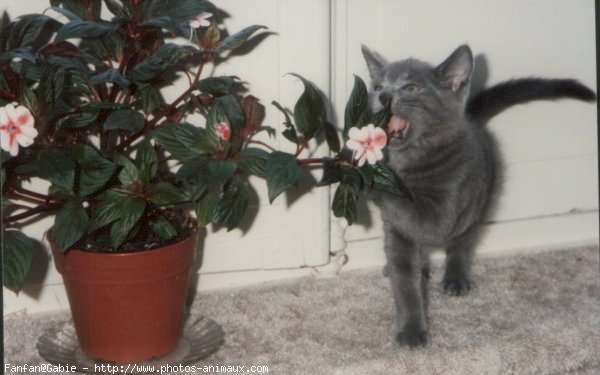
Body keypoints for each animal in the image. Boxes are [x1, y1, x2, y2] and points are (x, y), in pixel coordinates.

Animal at [360, 44, 596, 350]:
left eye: (412, 87)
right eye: (377, 86)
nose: (383, 95)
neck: (410, 160)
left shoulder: (441, 208)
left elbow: (415, 211)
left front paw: (355, 172)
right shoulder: (397, 231)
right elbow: (404, 279)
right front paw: (410, 326)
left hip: (478, 201)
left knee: (463, 241)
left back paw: (456, 277)